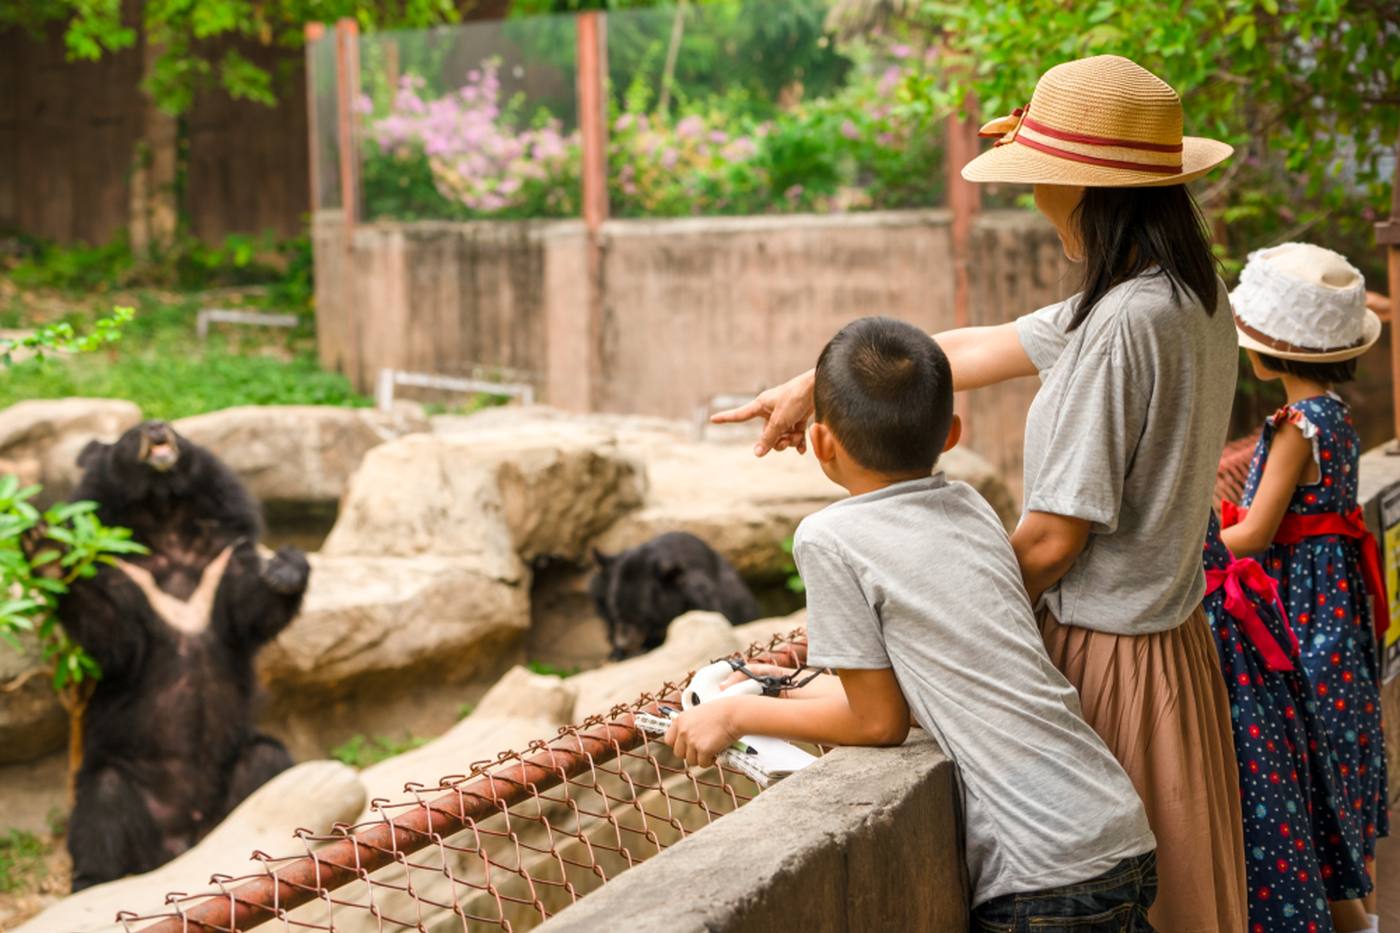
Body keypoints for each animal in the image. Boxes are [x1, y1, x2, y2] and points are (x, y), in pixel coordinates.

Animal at [51, 420, 312, 885]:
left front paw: (284, 568)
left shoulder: (221, 558)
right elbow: (113, 634)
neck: (164, 515)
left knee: (267, 763)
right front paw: (50, 560)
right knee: (102, 806)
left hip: (237, 771)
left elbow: (252, 608)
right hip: (122, 778)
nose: (156, 428)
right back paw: (93, 879)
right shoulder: (123, 572)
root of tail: (186, 836)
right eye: (129, 436)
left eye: (176, 431)